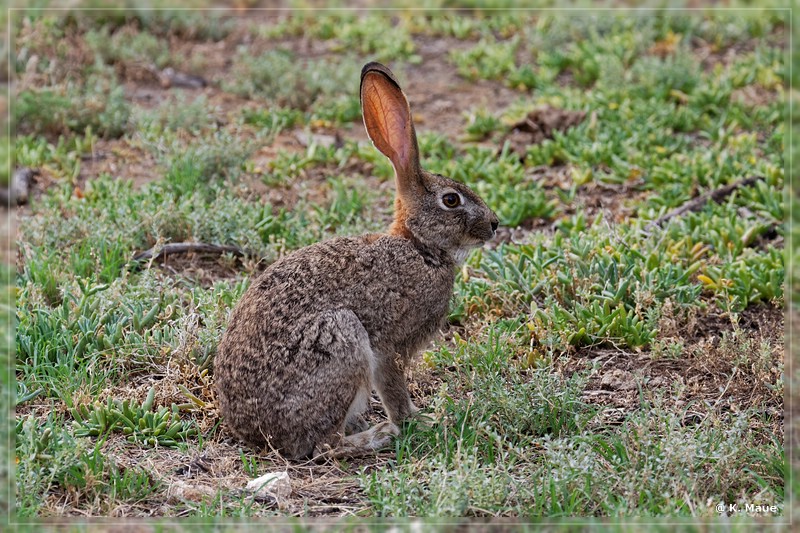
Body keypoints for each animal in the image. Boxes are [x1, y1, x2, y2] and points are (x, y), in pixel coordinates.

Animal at [214, 61, 500, 462]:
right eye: (451, 200)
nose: (494, 224)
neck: (418, 245)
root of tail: (255, 432)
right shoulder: (389, 346)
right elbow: (393, 387)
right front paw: (417, 421)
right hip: (340, 340)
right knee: (324, 444)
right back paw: (377, 436)